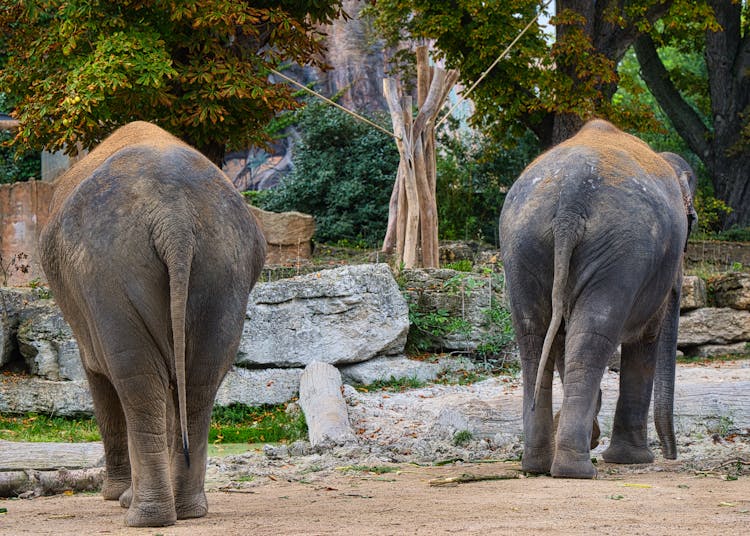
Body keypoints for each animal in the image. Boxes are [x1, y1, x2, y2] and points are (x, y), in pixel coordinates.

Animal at [40, 120, 268, 524]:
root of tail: (174, 218)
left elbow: (99, 376)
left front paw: (114, 496)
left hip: (111, 271)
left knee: (136, 379)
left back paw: (143, 516)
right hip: (224, 268)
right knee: (199, 379)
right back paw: (187, 511)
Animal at [500, 119, 700, 480]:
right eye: (691, 221)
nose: (671, 455)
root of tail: (570, 204)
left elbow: (560, 338)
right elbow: (647, 337)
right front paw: (633, 459)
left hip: (523, 241)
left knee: (536, 338)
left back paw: (538, 465)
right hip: (620, 251)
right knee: (592, 336)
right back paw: (576, 470)